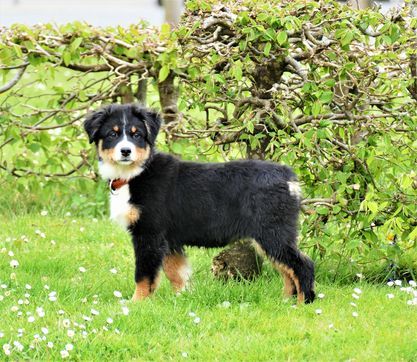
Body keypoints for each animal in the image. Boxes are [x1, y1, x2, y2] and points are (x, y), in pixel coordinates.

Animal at [83, 104, 314, 302]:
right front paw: (181, 299)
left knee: (302, 265)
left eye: (137, 134)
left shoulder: (149, 233)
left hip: (272, 231)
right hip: (272, 235)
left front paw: (136, 303)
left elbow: (144, 275)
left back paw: (304, 303)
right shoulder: (169, 239)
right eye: (112, 134)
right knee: (287, 270)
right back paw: (285, 302)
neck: (135, 174)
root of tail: (288, 176)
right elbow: (176, 272)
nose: (125, 151)